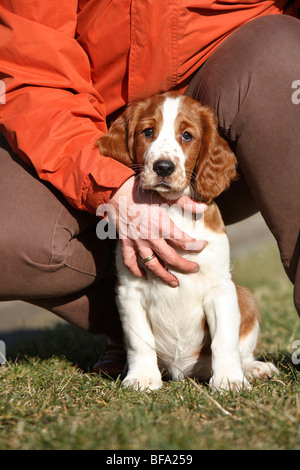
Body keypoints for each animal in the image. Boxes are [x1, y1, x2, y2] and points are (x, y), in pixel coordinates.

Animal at [97, 92, 280, 392]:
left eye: (186, 135)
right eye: (148, 132)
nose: (163, 167)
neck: (172, 208)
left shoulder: (221, 288)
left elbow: (225, 341)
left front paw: (229, 380)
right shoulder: (129, 289)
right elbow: (139, 340)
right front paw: (142, 377)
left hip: (244, 296)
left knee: (241, 349)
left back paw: (253, 368)